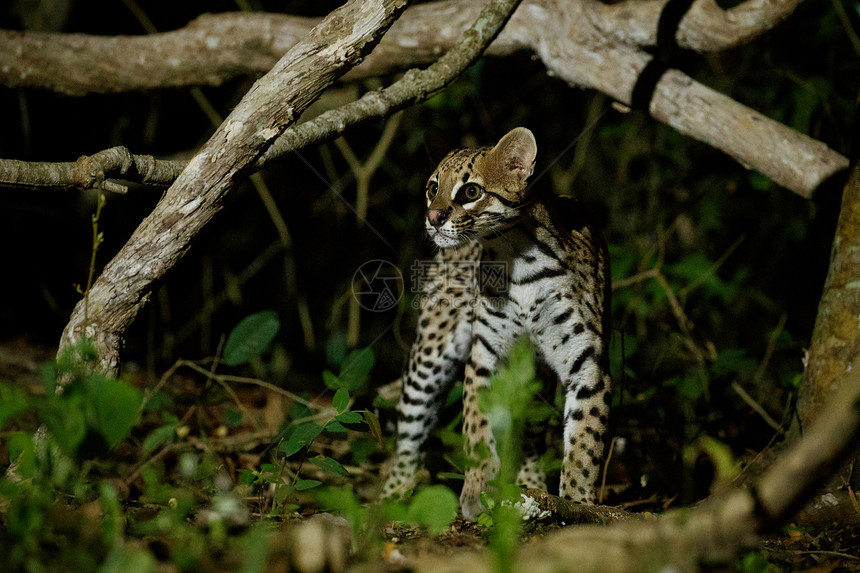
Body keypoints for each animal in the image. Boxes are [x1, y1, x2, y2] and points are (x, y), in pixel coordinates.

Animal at [382, 126, 612, 520]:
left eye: (470, 192)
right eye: (432, 187)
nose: (433, 216)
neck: (516, 257)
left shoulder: (587, 365)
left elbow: (585, 443)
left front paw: (578, 503)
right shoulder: (484, 355)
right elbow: (476, 429)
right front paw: (477, 489)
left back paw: (531, 485)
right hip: (430, 353)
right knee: (410, 427)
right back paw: (392, 496)